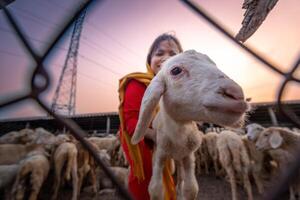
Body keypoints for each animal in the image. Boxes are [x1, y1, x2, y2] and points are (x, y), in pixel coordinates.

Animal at [131, 50, 251, 200]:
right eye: (176, 70)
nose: (236, 94)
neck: (178, 138)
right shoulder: (159, 154)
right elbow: (155, 189)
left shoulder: (188, 156)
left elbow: (191, 189)